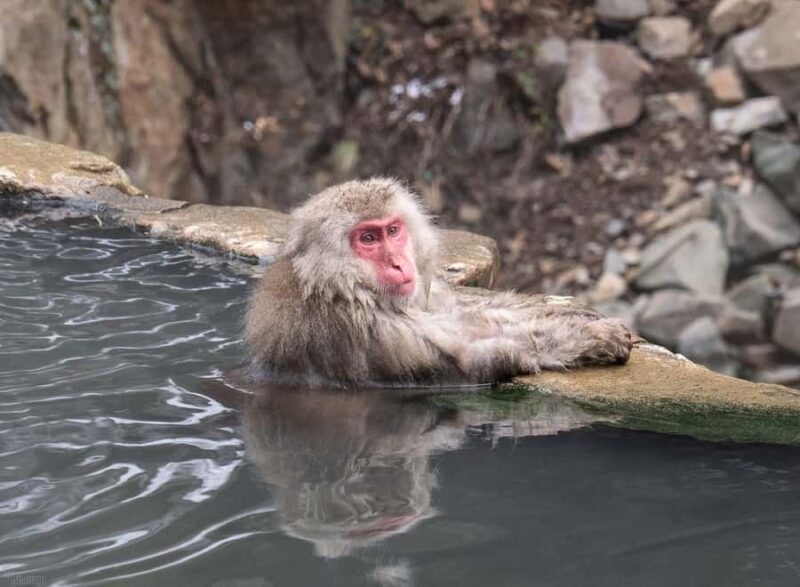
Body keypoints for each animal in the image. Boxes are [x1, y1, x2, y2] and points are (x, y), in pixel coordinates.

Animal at [244, 178, 632, 387]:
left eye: (392, 230)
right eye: (367, 239)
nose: (399, 263)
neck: (336, 285)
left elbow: (464, 313)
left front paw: (570, 314)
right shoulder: (368, 332)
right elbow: (478, 359)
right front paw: (589, 337)